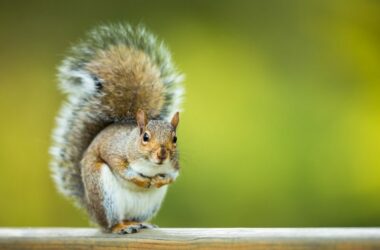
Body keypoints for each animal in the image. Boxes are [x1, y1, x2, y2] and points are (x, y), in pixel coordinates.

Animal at [50, 23, 184, 234]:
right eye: (145, 137)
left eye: (175, 139)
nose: (162, 154)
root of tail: (91, 209)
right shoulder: (115, 151)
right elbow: (121, 169)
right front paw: (142, 180)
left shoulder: (174, 165)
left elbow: (172, 176)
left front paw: (159, 180)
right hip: (104, 194)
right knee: (111, 223)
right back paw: (120, 227)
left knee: (132, 217)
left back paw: (138, 223)